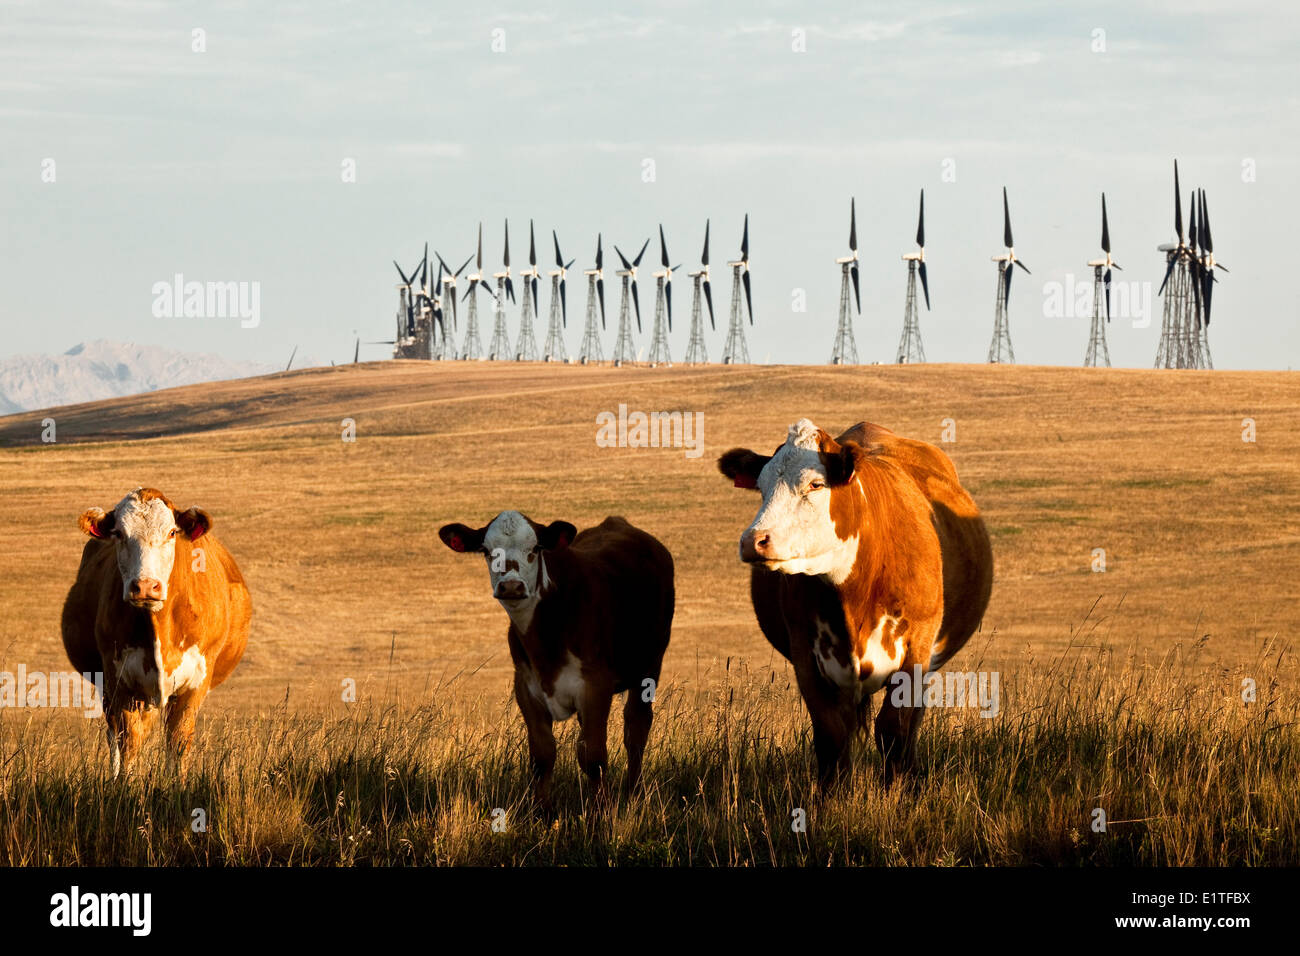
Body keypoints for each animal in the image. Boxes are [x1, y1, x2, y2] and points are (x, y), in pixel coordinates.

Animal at [60, 486, 250, 780]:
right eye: (118, 533)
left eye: (171, 532)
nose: (146, 586)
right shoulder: (118, 680)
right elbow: (129, 741)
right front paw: (124, 785)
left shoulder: (196, 682)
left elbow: (178, 741)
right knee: (114, 735)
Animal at [439, 512, 676, 806]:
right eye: (486, 550)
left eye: (535, 548)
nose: (511, 586)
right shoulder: (526, 687)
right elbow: (543, 756)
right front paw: (541, 811)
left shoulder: (595, 685)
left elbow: (593, 756)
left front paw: (601, 811)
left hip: (649, 665)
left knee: (636, 728)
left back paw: (634, 791)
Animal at [717, 421, 987, 790]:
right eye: (761, 486)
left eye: (815, 484)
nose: (753, 541)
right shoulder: (805, 655)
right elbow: (832, 734)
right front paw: (834, 797)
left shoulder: (916, 649)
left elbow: (894, 730)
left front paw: (896, 793)